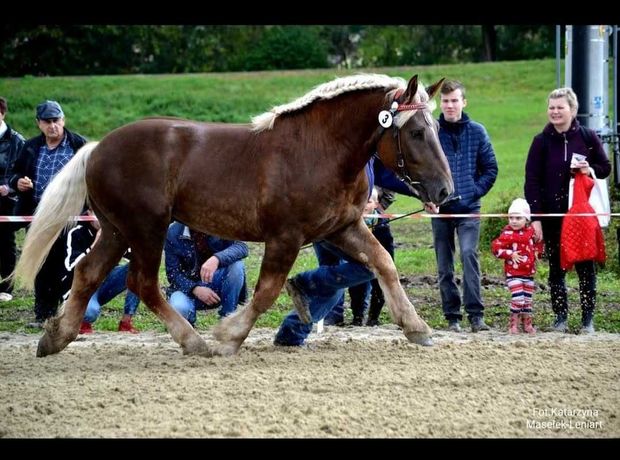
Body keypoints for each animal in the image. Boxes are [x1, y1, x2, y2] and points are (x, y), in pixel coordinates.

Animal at [13, 73, 450, 358]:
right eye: (416, 132)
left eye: (434, 126)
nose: (445, 191)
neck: (318, 150)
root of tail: (98, 147)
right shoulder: (285, 236)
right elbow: (266, 291)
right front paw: (228, 336)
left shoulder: (343, 227)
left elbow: (383, 263)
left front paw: (417, 327)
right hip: (146, 228)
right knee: (143, 283)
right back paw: (194, 342)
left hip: (118, 230)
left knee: (88, 273)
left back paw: (55, 338)